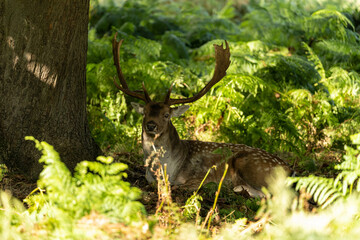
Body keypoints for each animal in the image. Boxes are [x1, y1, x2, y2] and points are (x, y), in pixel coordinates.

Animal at [111, 33, 292, 197]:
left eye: (166, 115)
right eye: (145, 113)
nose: (151, 125)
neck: (165, 171)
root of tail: (289, 169)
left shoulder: (200, 177)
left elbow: (179, 186)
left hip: (253, 166)